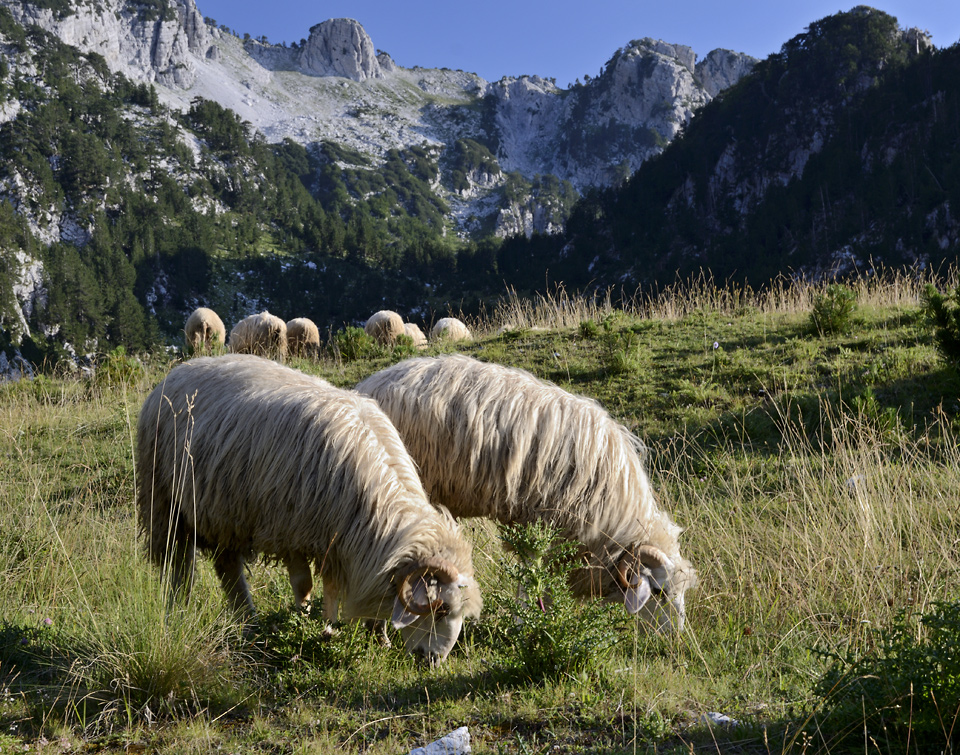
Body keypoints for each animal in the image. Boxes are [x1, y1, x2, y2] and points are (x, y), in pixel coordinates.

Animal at [137, 356, 480, 668]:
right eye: (440, 609)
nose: (434, 660)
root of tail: (182, 368)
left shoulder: (341, 541)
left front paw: (371, 634)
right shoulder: (290, 529)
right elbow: (304, 585)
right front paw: (304, 625)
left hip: (224, 515)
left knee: (228, 568)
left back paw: (248, 622)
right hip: (166, 503)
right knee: (178, 566)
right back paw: (178, 613)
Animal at [356, 354, 692, 632]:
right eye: (659, 592)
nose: (676, 638)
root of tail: (367, 384)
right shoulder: (538, 520)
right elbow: (530, 573)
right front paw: (524, 622)